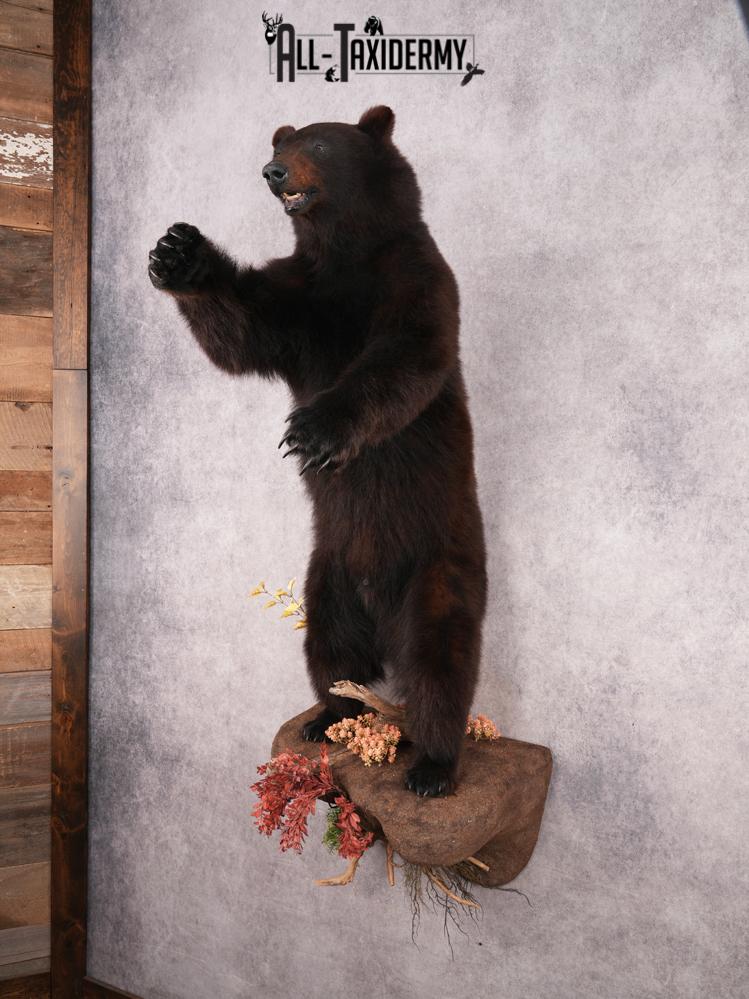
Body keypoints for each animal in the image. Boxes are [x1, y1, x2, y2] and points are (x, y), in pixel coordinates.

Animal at [148, 105, 488, 797]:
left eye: (322, 145)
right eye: (282, 144)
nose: (273, 171)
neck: (344, 251)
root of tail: (381, 604)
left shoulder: (418, 276)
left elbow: (406, 354)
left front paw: (310, 433)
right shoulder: (298, 299)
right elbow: (240, 330)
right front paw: (179, 254)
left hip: (441, 564)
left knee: (441, 664)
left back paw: (433, 765)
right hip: (326, 576)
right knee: (331, 656)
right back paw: (329, 720)